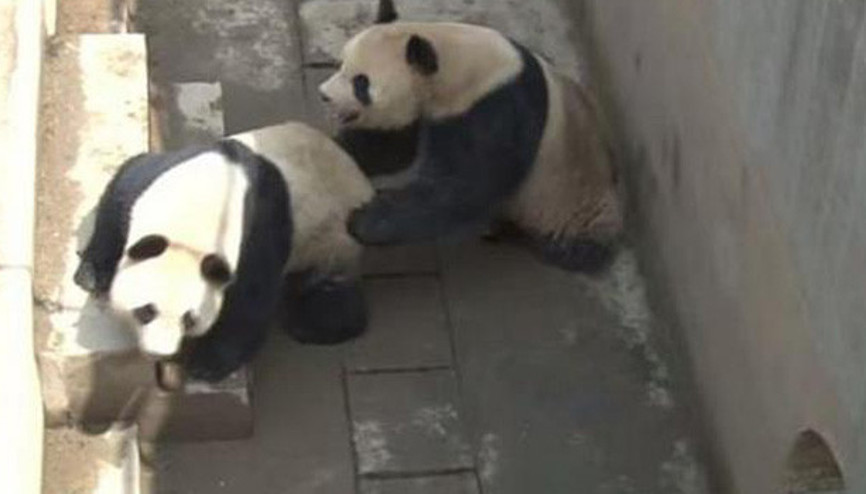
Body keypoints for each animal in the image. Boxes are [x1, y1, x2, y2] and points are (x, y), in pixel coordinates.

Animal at [73, 122, 374, 382]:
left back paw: (312, 323)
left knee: (331, 291)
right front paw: (92, 274)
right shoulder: (154, 180)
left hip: (334, 242)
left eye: (189, 319)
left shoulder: (257, 233)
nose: (160, 352)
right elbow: (121, 191)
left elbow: (250, 300)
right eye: (146, 310)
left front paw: (208, 364)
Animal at [319, 0, 622, 272]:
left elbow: (467, 185)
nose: (324, 95)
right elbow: (391, 145)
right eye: (340, 63)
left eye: (361, 83)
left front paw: (363, 219)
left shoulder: (499, 108)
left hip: (574, 198)